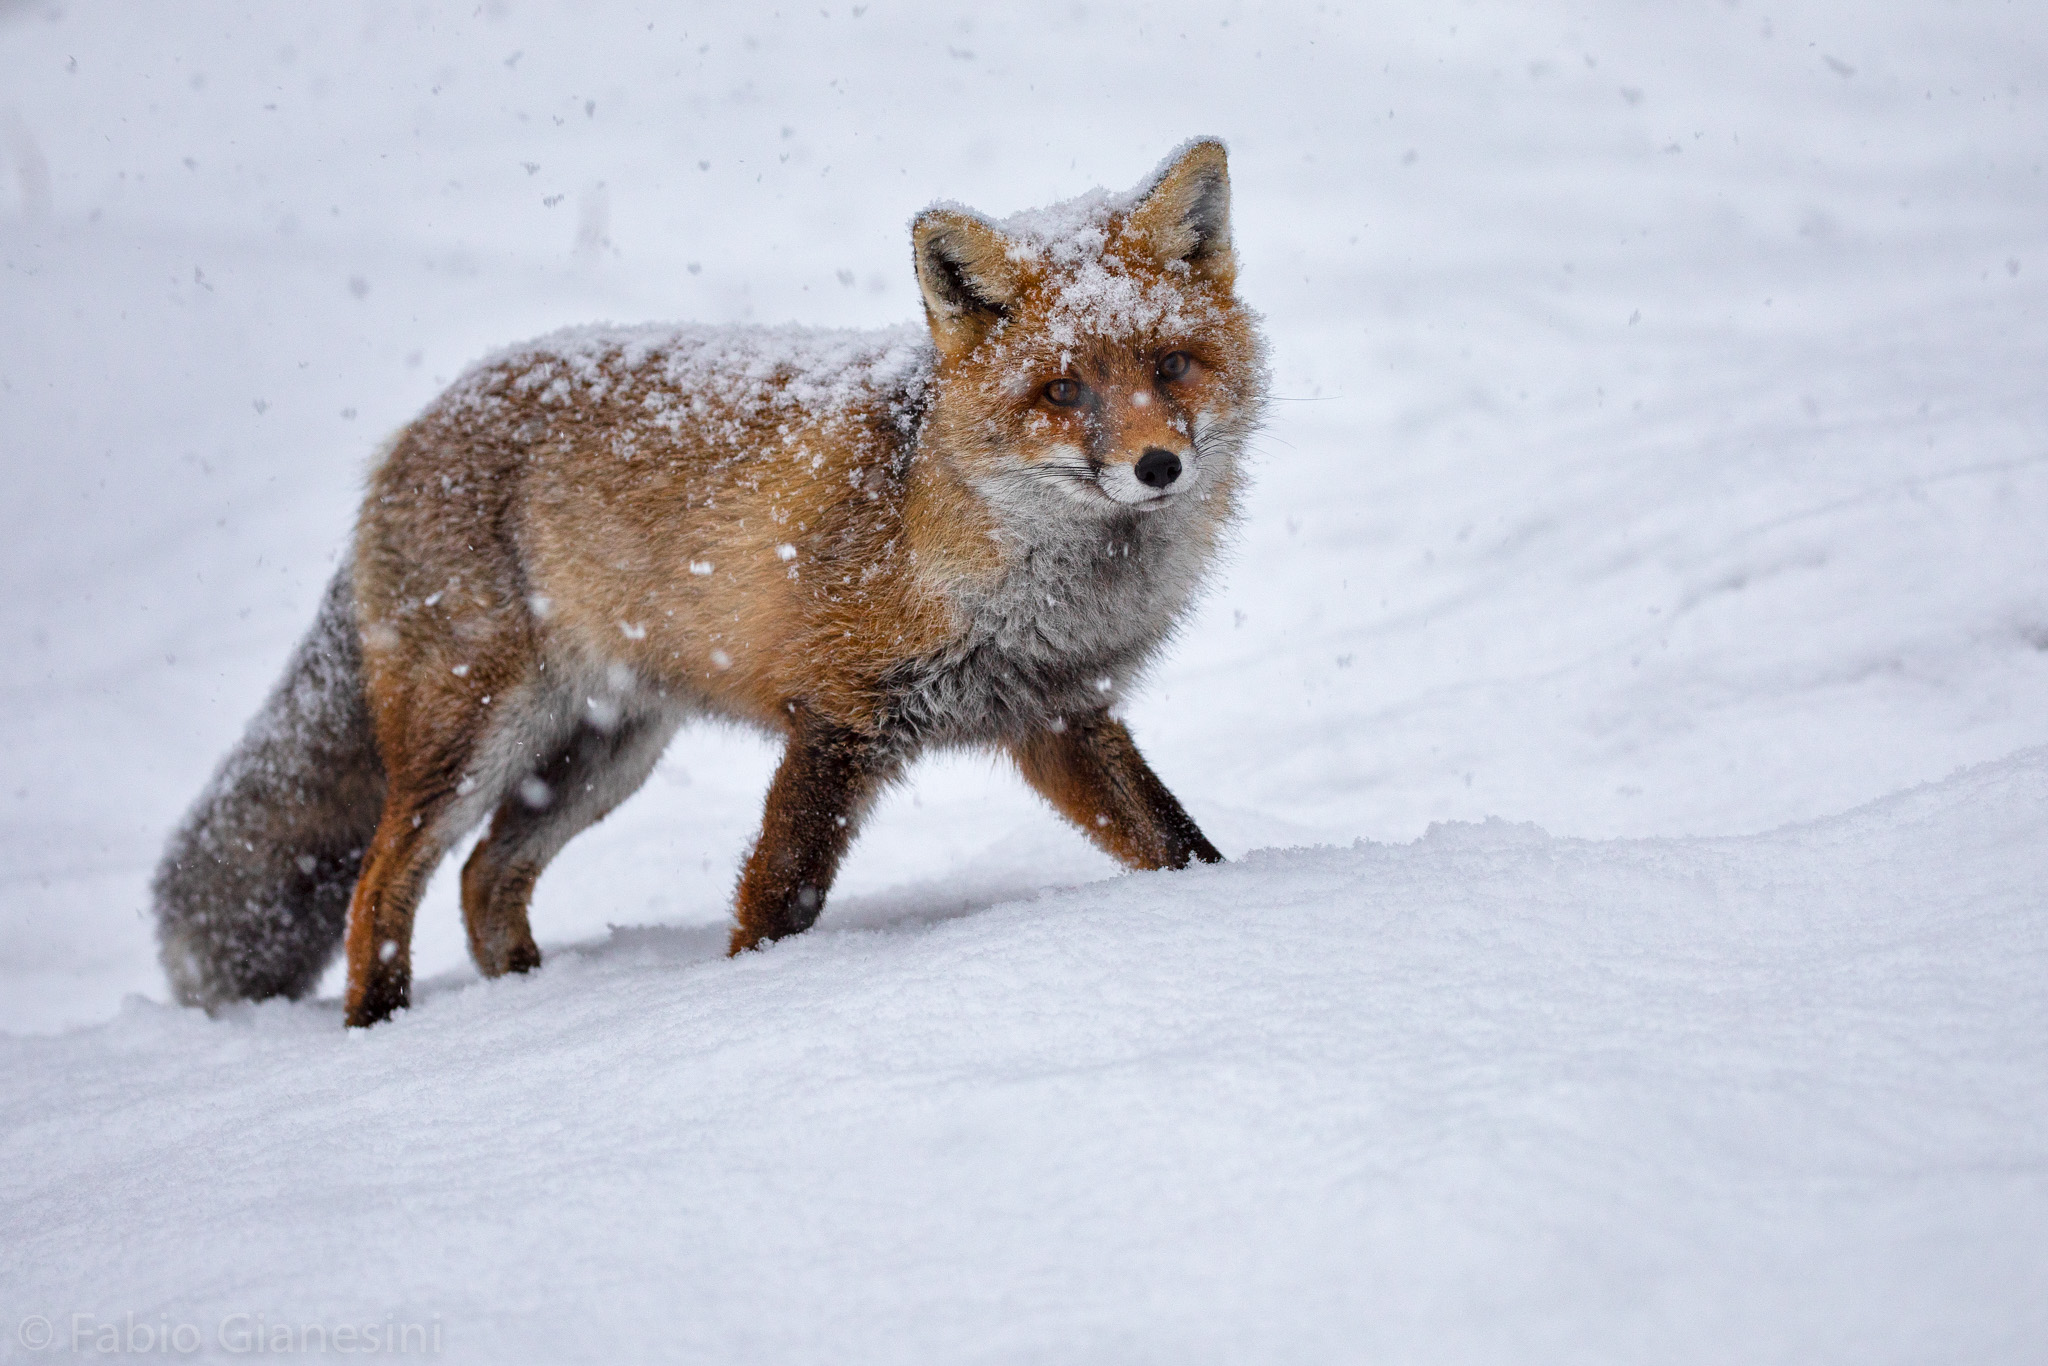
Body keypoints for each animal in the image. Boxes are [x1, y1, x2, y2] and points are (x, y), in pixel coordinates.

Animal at [153, 138, 1268, 1027]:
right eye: (1062, 390)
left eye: (1172, 365)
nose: (1157, 467)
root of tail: (415, 425)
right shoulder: (836, 721)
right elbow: (779, 899)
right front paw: (747, 1001)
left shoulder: (1056, 715)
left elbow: (1179, 843)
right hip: (475, 734)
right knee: (384, 881)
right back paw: (377, 1028)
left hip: (601, 753)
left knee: (484, 878)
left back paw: (528, 1002)